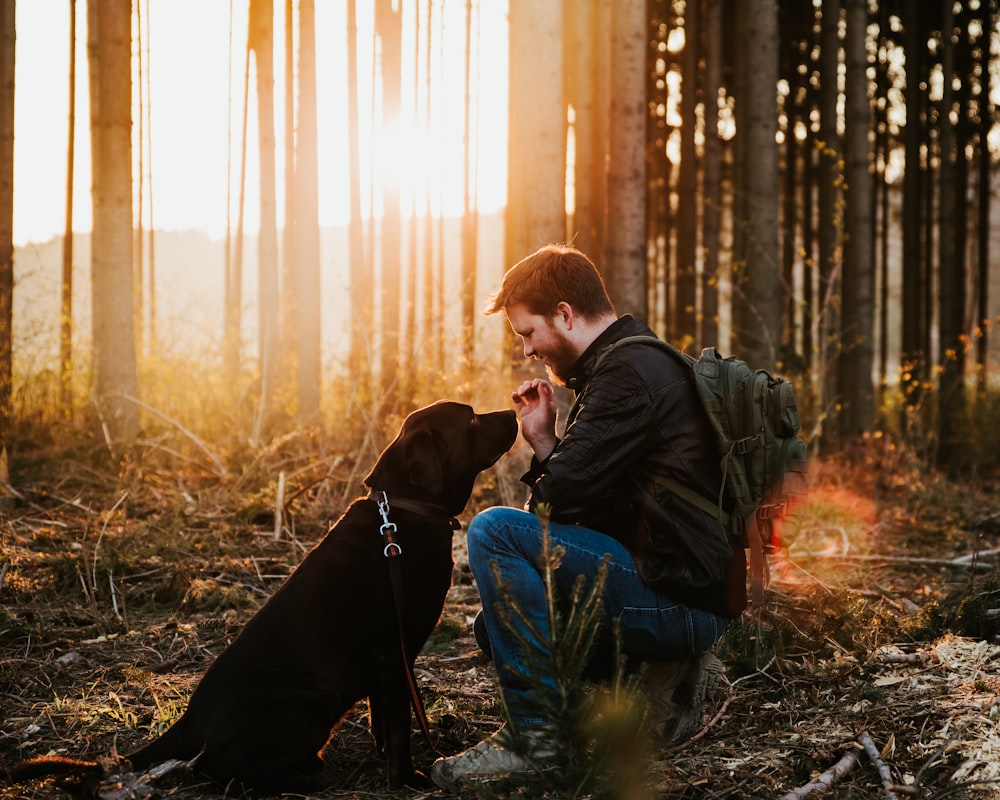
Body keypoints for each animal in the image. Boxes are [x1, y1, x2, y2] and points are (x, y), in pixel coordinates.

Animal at [9, 404, 516, 792]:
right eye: (471, 418)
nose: (513, 410)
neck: (402, 513)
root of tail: (190, 721)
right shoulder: (392, 652)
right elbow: (397, 724)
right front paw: (405, 778)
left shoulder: (389, 664)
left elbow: (383, 717)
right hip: (309, 704)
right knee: (222, 773)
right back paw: (304, 775)